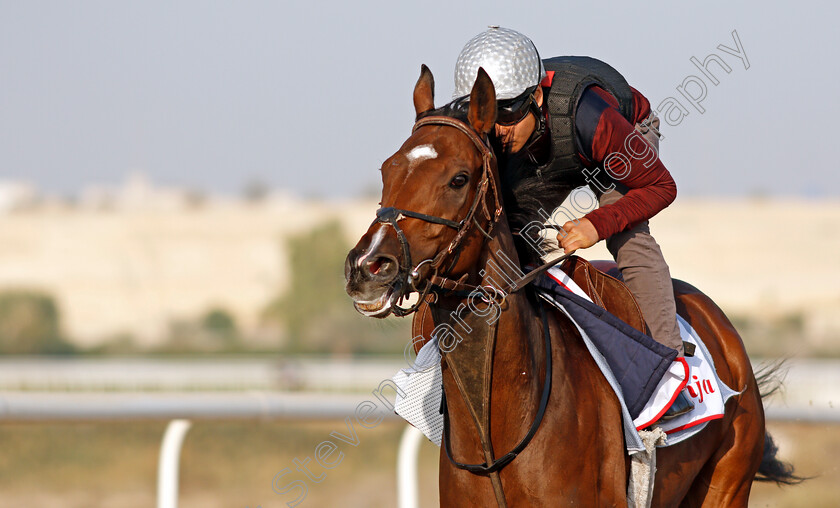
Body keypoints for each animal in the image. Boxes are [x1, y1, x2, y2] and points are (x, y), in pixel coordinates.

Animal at [342, 65, 796, 506]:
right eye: (387, 169)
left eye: (459, 178)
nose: (368, 266)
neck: (497, 434)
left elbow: (658, 187)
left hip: (728, 480)